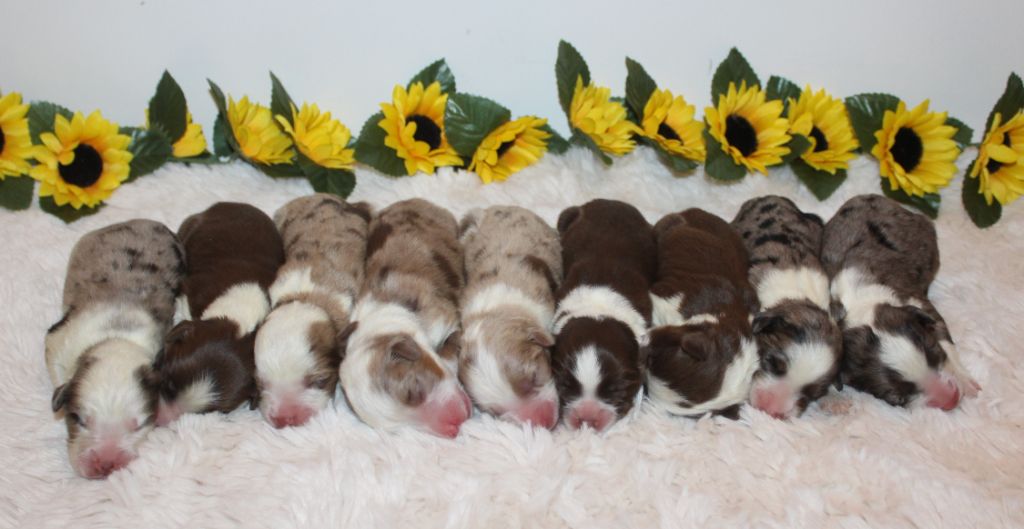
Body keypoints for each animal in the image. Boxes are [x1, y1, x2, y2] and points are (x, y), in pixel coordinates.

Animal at [46, 220, 184, 478]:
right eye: (78, 419)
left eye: (140, 424)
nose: (106, 464)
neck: (117, 337)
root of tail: (144, 221)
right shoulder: (58, 341)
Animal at [154, 202, 284, 425]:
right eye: (168, 384)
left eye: (207, 412)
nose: (161, 420)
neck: (239, 318)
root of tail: (233, 204)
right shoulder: (189, 291)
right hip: (190, 226)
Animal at [822, 194, 980, 410]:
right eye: (896, 398)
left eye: (934, 351)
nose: (951, 399)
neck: (860, 300)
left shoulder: (914, 300)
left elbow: (944, 336)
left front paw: (965, 379)